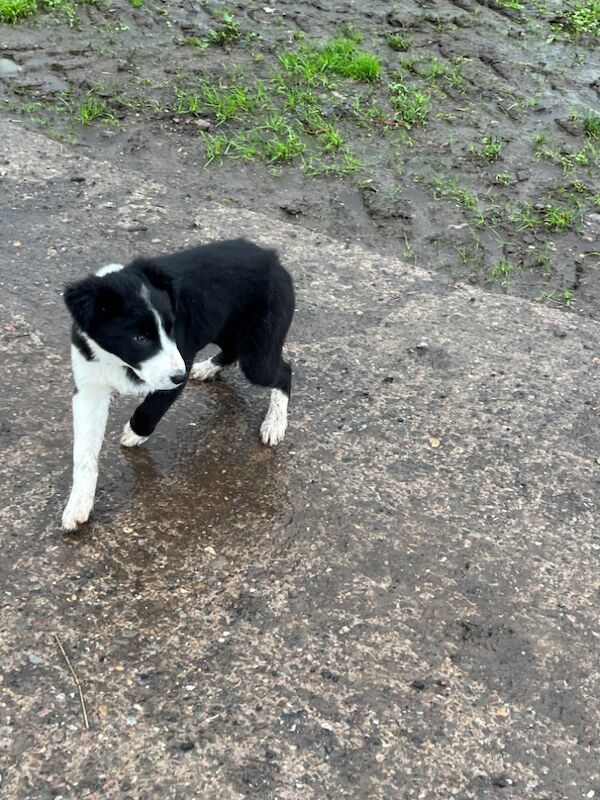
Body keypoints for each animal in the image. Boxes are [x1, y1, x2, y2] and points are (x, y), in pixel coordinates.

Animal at [61, 241, 296, 536]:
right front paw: (78, 504)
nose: (181, 376)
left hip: (257, 352)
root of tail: (271, 257)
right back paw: (208, 369)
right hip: (224, 327)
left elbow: (150, 409)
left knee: (283, 372)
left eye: (171, 329)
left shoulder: (178, 363)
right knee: (232, 350)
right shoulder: (89, 388)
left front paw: (134, 433)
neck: (119, 360)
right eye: (139, 338)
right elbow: (84, 453)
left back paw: (274, 423)